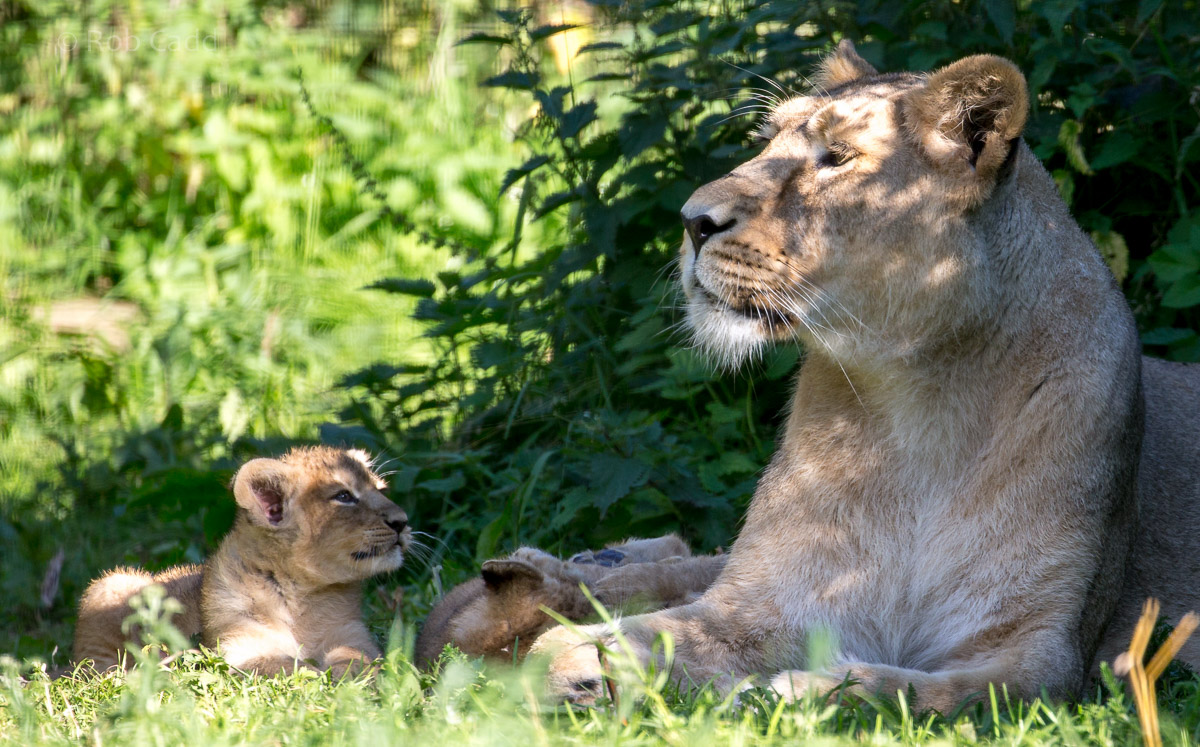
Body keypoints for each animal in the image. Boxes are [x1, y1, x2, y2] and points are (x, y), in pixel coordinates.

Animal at [73, 447, 411, 677]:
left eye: (380, 490)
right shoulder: (235, 649)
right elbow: (278, 663)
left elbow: (357, 659)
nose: (402, 522)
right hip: (112, 583)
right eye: (343, 496)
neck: (303, 596)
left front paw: (352, 679)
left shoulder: (354, 636)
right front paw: (313, 674)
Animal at [531, 41, 1200, 712]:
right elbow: (643, 633)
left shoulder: (1043, 657)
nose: (692, 220)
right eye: (765, 142)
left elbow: (932, 694)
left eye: (838, 157)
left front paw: (805, 688)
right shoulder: (764, 600)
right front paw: (574, 662)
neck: (922, 405)